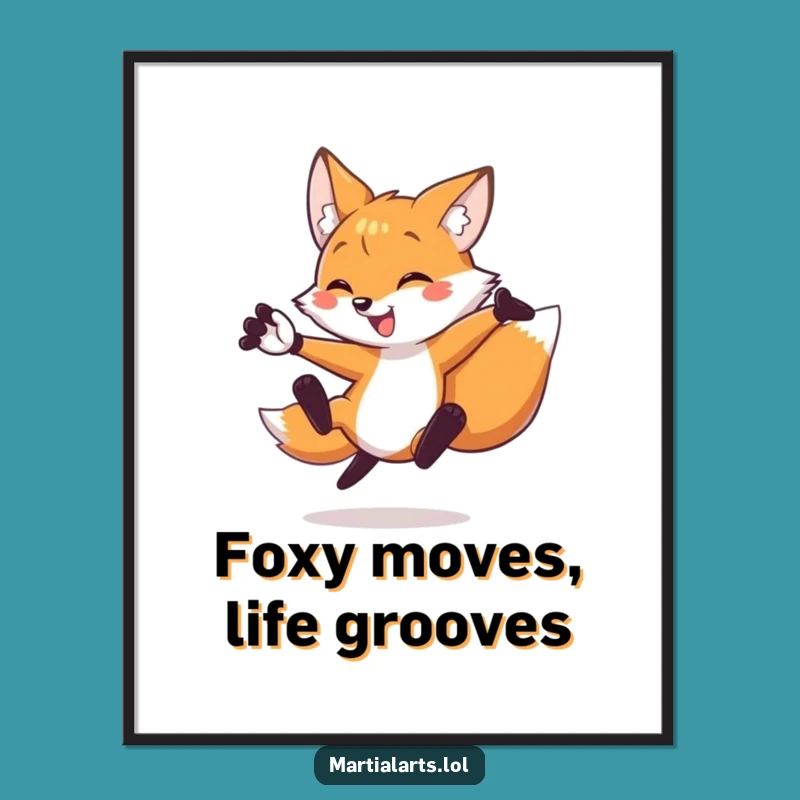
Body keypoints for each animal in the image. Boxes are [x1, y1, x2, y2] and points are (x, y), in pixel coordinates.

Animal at [239, 148, 561, 490]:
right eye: (341, 286)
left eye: (411, 279)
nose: (362, 303)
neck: (399, 352)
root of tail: (381, 453)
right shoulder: (366, 361)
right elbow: (339, 355)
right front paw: (280, 336)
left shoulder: (439, 351)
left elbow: (467, 333)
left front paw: (508, 307)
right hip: (347, 411)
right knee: (330, 420)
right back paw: (310, 394)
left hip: (414, 435)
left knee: (423, 456)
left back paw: (445, 424)